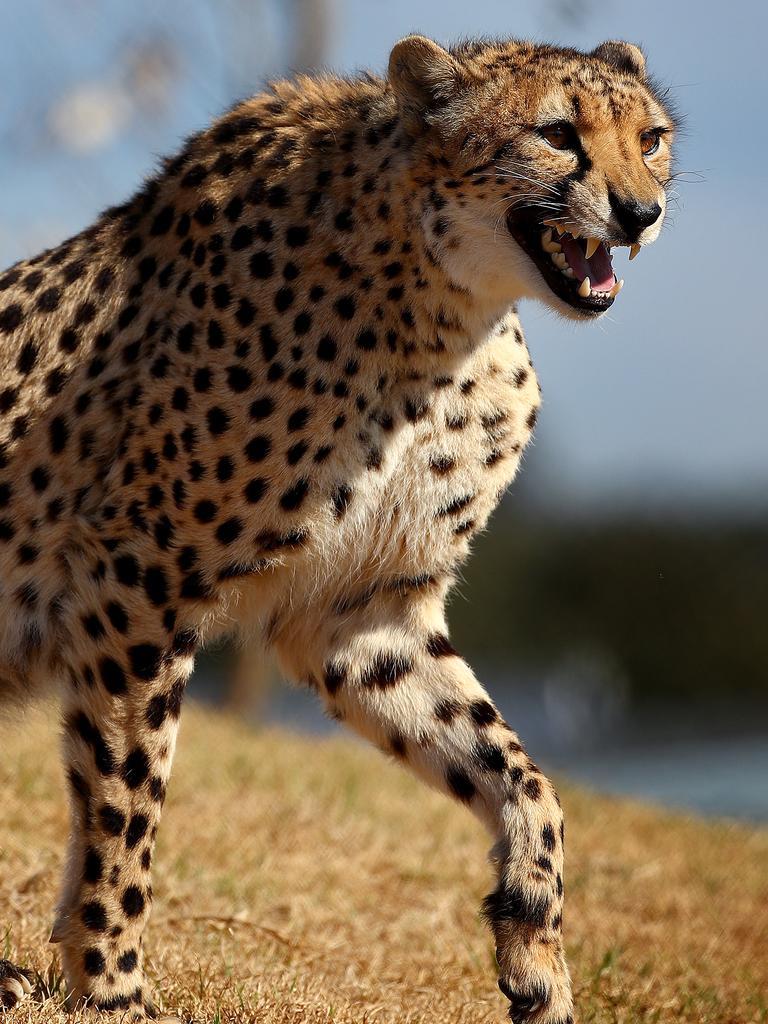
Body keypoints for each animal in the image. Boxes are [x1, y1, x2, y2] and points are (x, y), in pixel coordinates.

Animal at [0, 34, 675, 1024]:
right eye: (558, 133)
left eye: (652, 138)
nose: (641, 212)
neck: (442, 308)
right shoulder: (138, 577)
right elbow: (127, 799)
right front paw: (111, 983)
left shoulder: (360, 613)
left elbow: (518, 773)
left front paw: (536, 946)